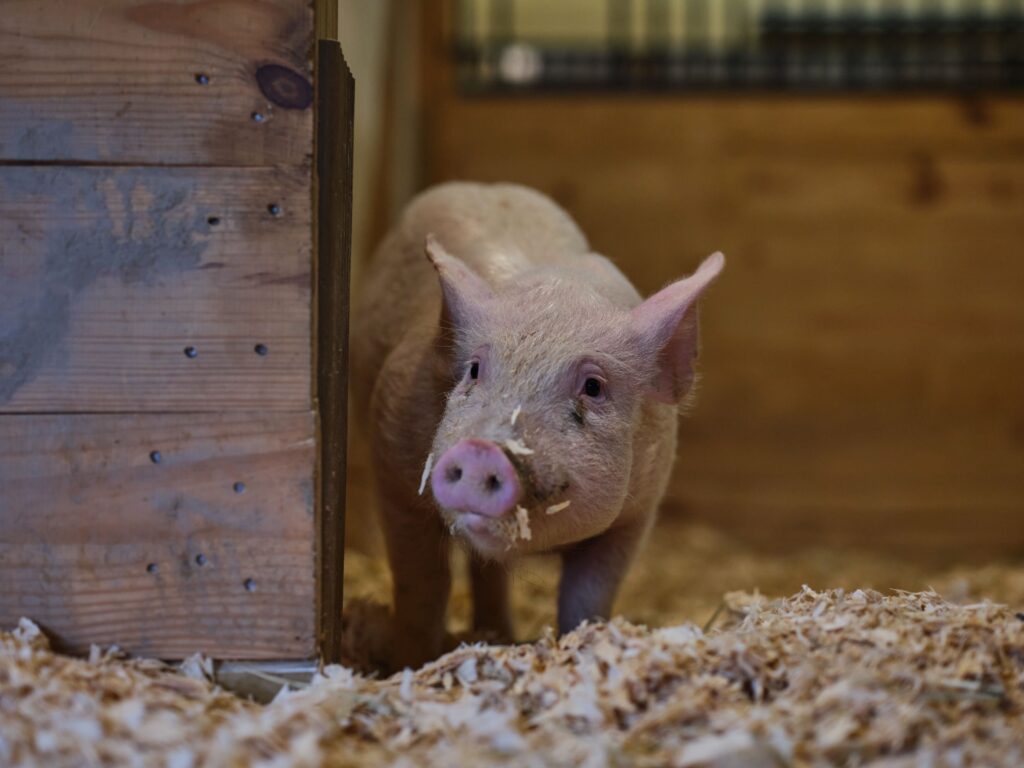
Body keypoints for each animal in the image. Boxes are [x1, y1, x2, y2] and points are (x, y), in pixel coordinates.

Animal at [352, 182, 723, 670]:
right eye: (474, 370)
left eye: (593, 386)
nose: (482, 449)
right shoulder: (394, 471)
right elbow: (423, 589)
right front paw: (410, 664)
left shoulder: (636, 514)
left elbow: (588, 598)